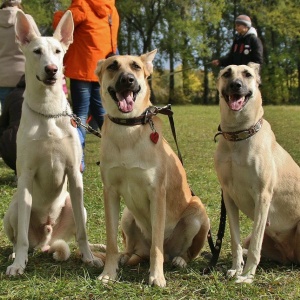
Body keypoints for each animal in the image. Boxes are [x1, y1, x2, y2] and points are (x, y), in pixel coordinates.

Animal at [3, 10, 103, 276]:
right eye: (36, 51)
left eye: (58, 51)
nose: (52, 69)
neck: (48, 112)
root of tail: (46, 240)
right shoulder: (26, 175)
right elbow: (21, 236)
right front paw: (18, 265)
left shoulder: (75, 174)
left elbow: (82, 232)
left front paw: (89, 258)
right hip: (13, 209)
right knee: (20, 237)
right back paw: (17, 254)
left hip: (76, 207)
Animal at [95, 50, 210, 288]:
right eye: (112, 66)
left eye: (136, 66)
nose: (127, 80)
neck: (128, 128)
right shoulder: (110, 192)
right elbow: (111, 242)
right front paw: (109, 273)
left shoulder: (157, 193)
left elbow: (157, 243)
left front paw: (157, 276)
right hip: (127, 216)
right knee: (131, 248)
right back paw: (125, 257)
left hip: (197, 213)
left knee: (176, 251)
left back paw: (179, 259)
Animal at [214, 63, 300, 284]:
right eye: (226, 73)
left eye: (247, 74)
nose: (236, 85)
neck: (238, 135)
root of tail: (291, 256)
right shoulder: (229, 197)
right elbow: (235, 240)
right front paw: (236, 268)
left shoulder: (262, 196)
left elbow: (256, 247)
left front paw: (247, 276)